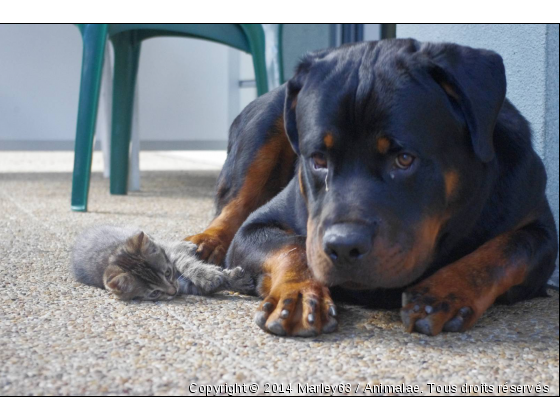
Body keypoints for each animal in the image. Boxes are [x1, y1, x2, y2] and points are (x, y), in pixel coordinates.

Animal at [71, 225, 253, 300]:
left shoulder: (173, 256)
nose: (174, 292)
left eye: (167, 272)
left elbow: (187, 263)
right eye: (154, 293)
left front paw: (207, 275)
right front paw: (234, 281)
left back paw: (188, 245)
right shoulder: (183, 286)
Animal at [186, 39, 556, 338]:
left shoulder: (538, 226)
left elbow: (506, 250)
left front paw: (445, 291)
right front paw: (300, 295)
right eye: (318, 159)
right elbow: (293, 246)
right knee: (234, 205)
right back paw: (205, 243)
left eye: (404, 159)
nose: (344, 246)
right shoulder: (259, 225)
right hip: (264, 125)